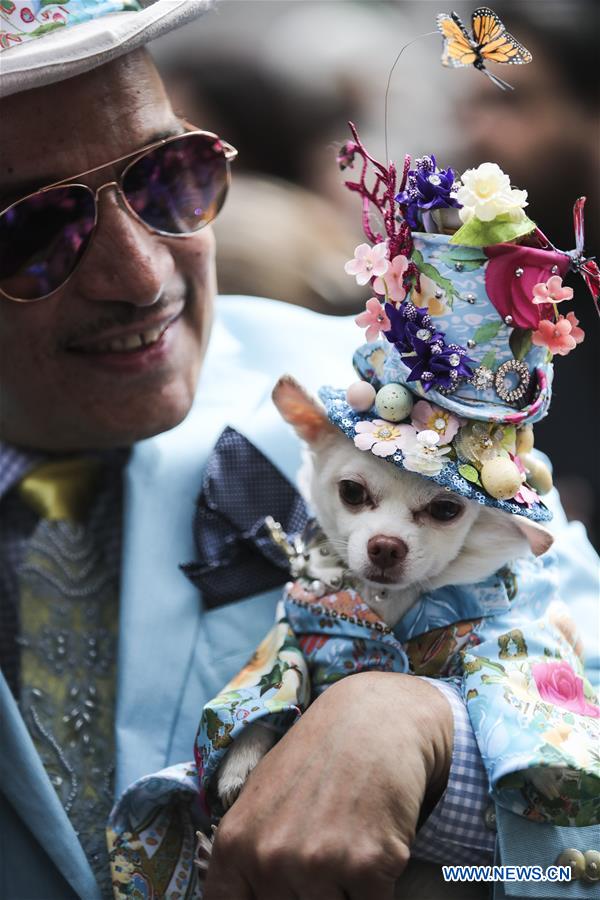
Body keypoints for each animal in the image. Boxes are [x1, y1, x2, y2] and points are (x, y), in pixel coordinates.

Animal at [214, 372, 552, 808]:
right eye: (351, 492)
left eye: (446, 510)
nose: (387, 546)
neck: (386, 599)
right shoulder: (292, 633)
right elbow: (277, 678)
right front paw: (241, 759)